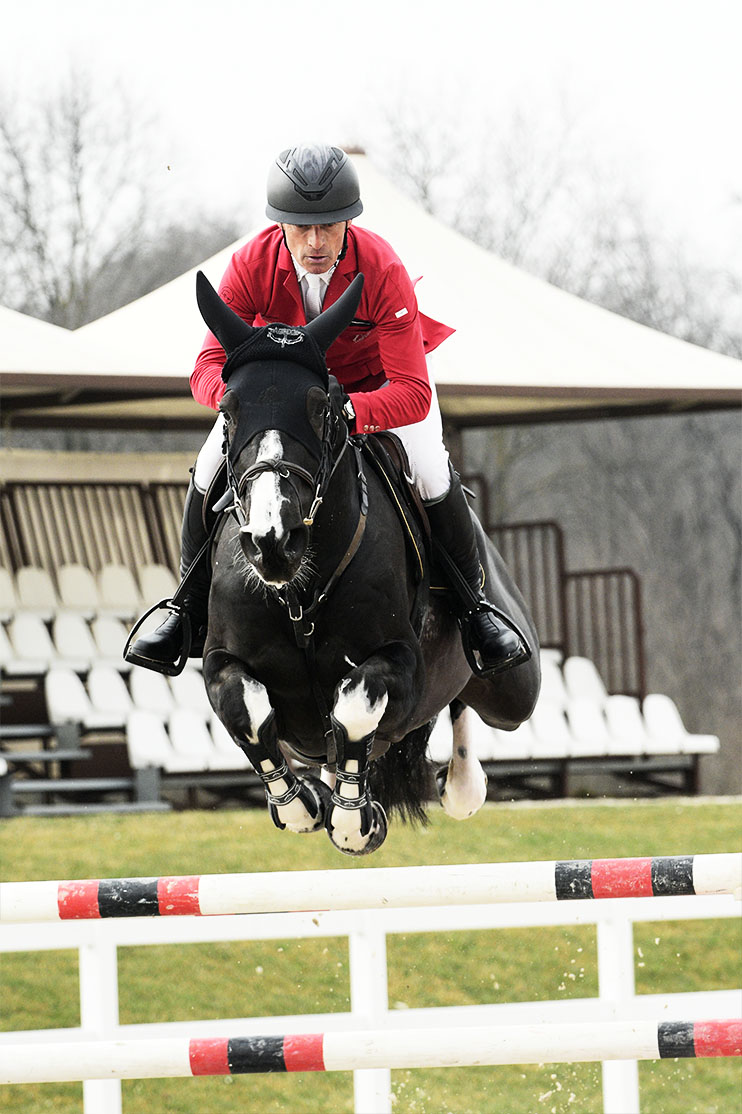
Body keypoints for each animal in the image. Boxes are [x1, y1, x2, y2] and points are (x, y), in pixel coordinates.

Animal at [194, 269, 537, 851]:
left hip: (515, 686)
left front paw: (357, 822)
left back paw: (461, 782)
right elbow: (248, 711)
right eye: (227, 410)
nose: (272, 541)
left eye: (322, 407)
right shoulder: (221, 662)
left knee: (471, 700)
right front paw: (302, 805)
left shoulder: (401, 662)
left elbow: (355, 705)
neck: (299, 592)